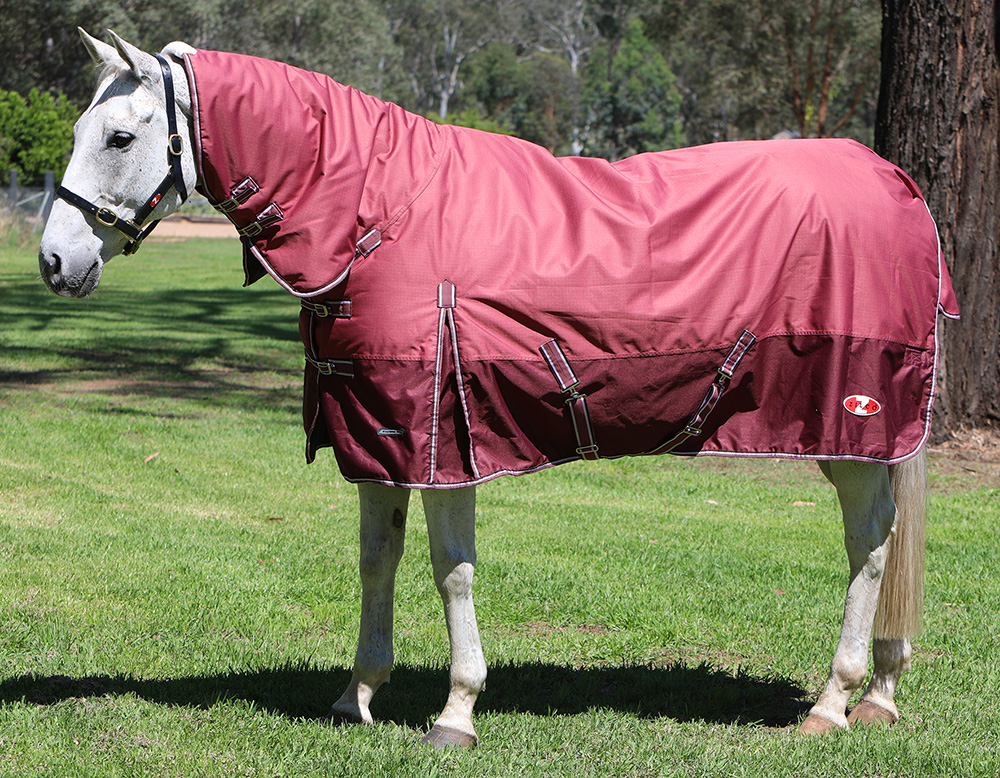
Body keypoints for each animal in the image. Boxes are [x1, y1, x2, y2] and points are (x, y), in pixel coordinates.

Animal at [38, 30, 959, 747]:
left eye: (118, 137)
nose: (54, 261)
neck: (379, 214)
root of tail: (894, 181)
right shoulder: (379, 434)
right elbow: (376, 560)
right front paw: (357, 695)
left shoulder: (446, 440)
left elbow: (451, 570)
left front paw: (456, 712)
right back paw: (879, 694)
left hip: (850, 424)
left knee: (871, 544)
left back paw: (833, 703)